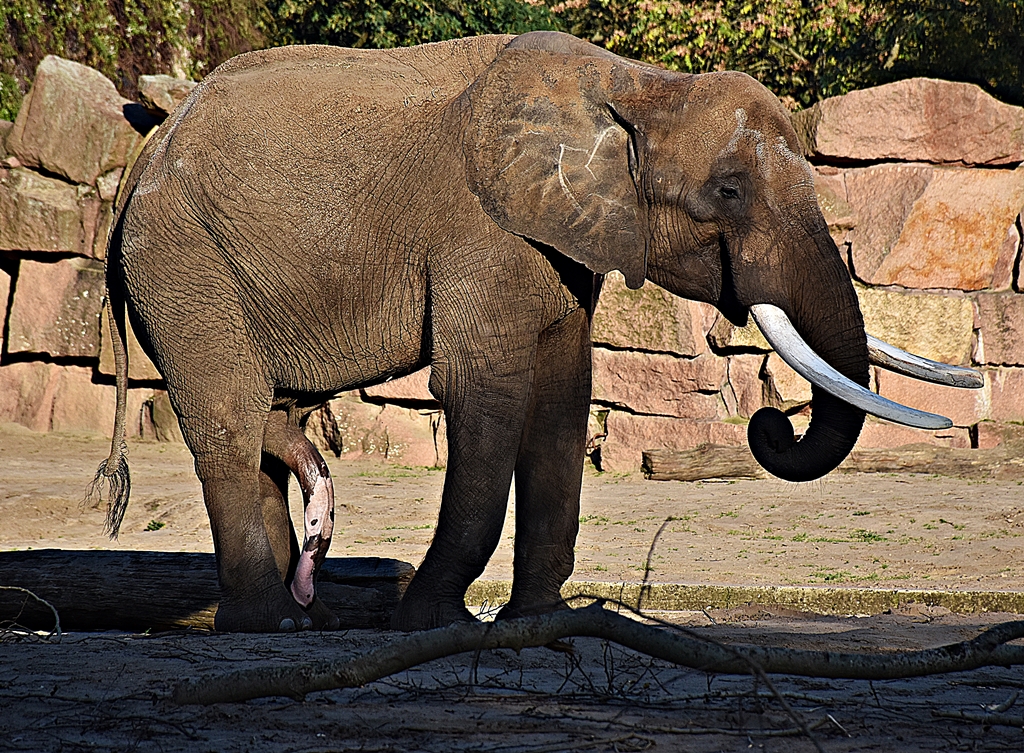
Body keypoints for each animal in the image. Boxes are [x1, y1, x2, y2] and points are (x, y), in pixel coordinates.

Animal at [91, 31, 980, 633]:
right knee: (231, 418)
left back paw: (301, 614)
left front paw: (538, 621)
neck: (636, 84)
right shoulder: (483, 233)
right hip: (182, 262)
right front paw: (432, 622)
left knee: (277, 417)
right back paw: (267, 620)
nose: (770, 424)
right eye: (729, 191)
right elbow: (482, 393)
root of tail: (145, 151)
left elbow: (561, 398)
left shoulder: (567, 240)